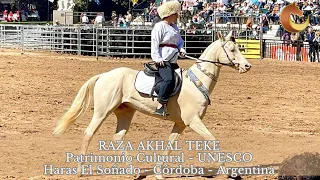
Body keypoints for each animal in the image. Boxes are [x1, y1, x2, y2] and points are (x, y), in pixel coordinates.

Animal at [53, 30, 252, 179]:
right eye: (232, 50)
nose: (247, 66)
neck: (197, 82)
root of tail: (103, 75)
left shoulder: (180, 124)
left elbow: (170, 145)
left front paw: (158, 173)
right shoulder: (193, 121)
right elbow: (213, 141)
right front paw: (228, 173)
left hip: (125, 113)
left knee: (118, 138)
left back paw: (133, 172)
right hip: (102, 112)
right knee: (89, 133)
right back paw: (80, 171)